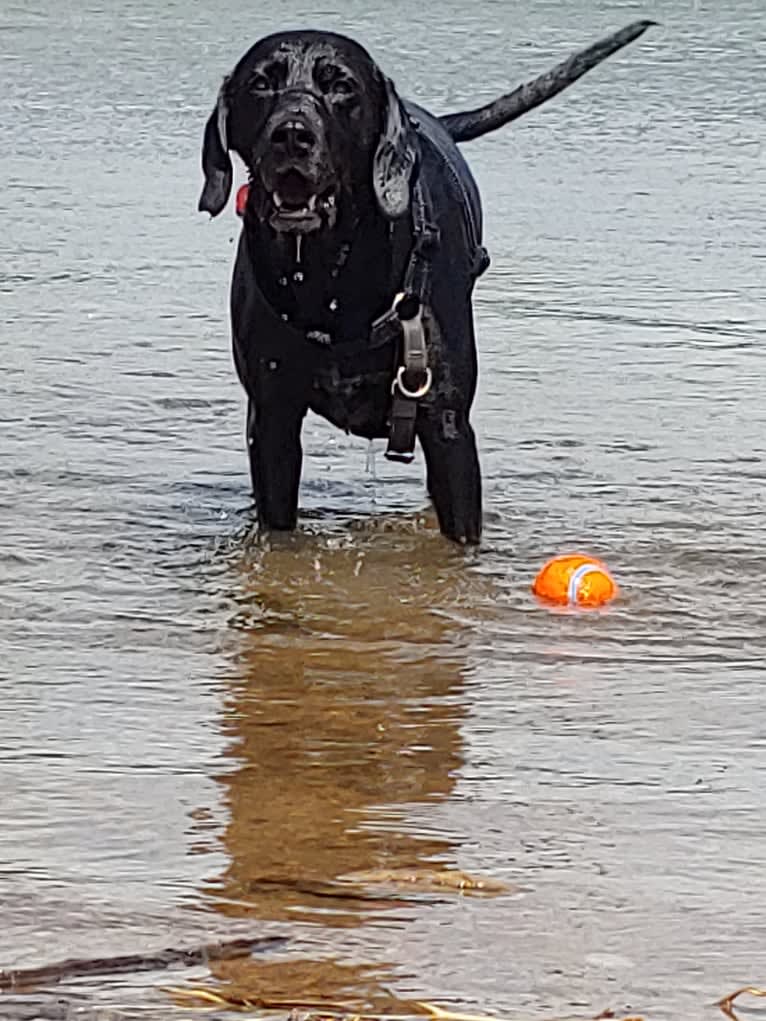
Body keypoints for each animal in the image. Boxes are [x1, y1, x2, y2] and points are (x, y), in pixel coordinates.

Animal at [198, 21, 653, 543]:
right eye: (260, 83)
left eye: (341, 86)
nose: (292, 135)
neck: (333, 279)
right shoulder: (272, 418)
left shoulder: (448, 424)